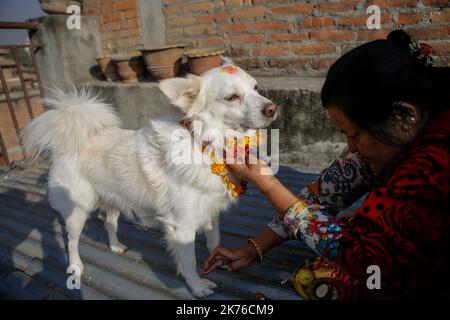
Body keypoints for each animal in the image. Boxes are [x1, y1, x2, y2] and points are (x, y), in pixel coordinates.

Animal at [22, 63, 280, 298]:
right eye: (232, 97)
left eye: (256, 88)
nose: (272, 108)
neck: (206, 146)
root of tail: (70, 138)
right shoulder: (182, 228)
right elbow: (188, 262)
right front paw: (197, 287)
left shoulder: (210, 214)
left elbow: (214, 242)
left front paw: (217, 259)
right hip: (78, 209)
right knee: (71, 239)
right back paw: (75, 266)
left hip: (114, 200)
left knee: (110, 223)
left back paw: (115, 246)